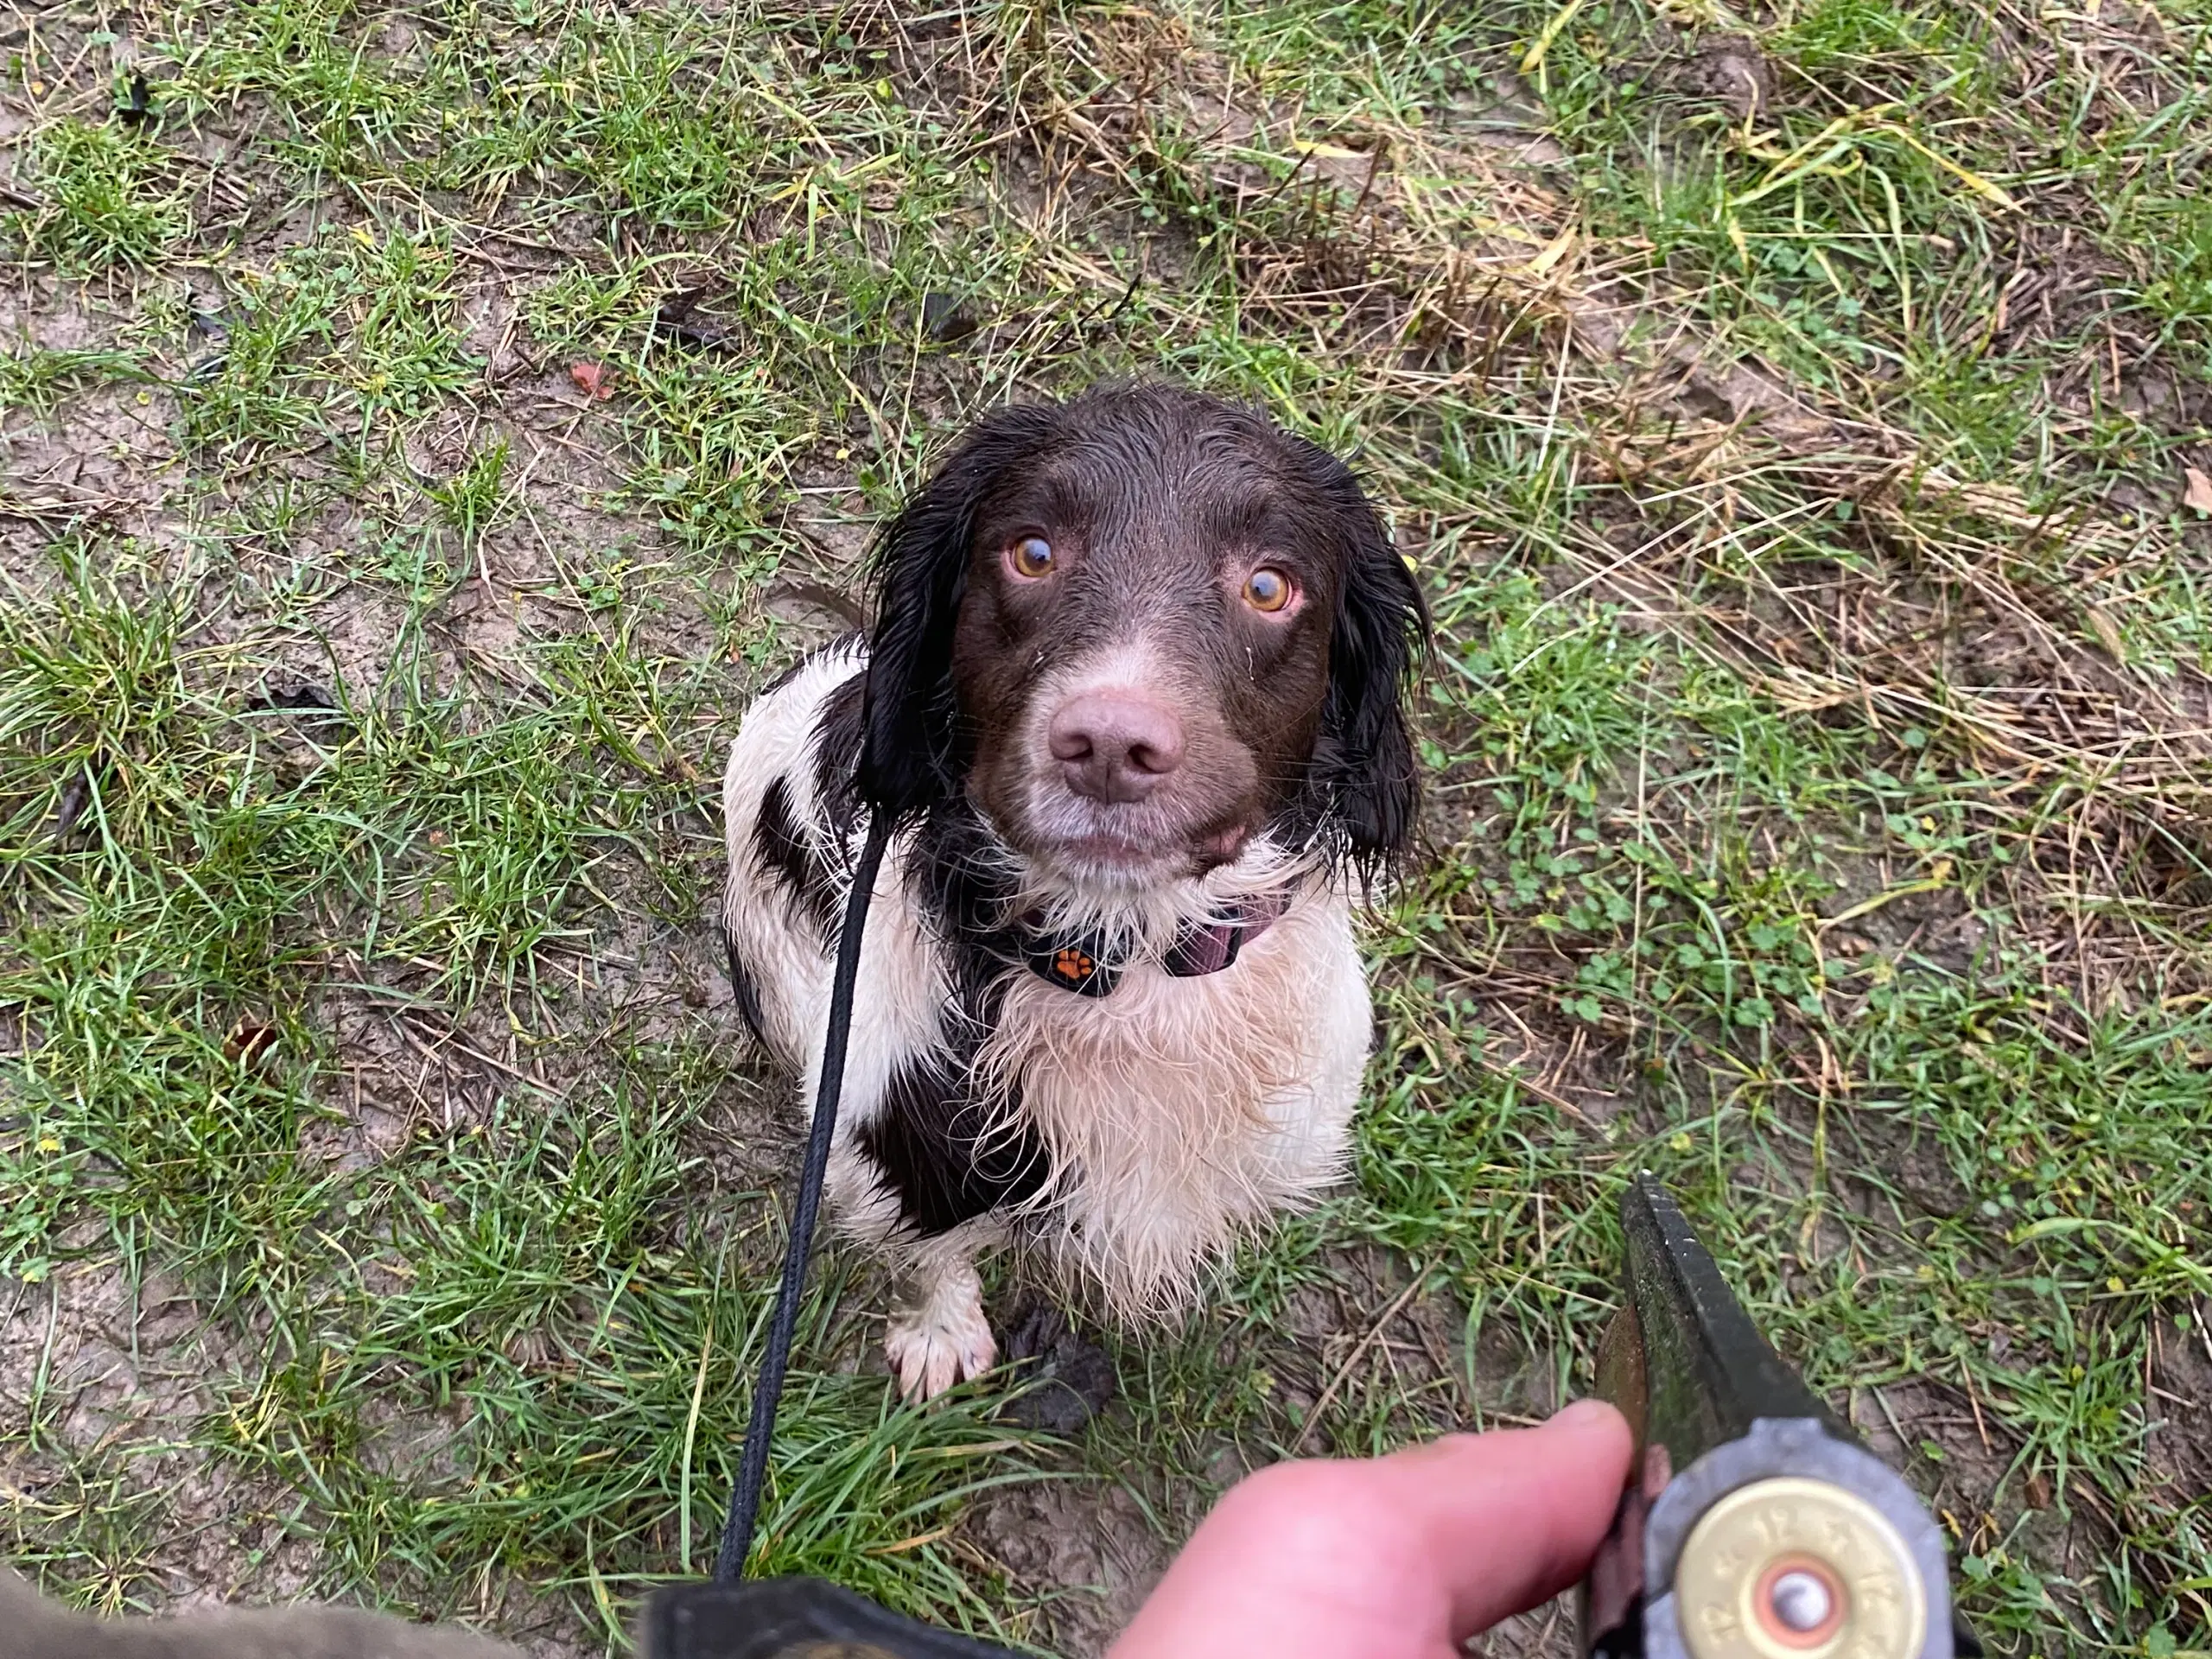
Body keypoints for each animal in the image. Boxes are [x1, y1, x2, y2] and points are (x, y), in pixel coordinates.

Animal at [716, 382, 1424, 1397]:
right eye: (1034, 552)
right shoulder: (895, 1145)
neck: (1128, 961)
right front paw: (940, 1336)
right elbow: (932, 1253)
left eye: (1269, 585)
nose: (1110, 744)